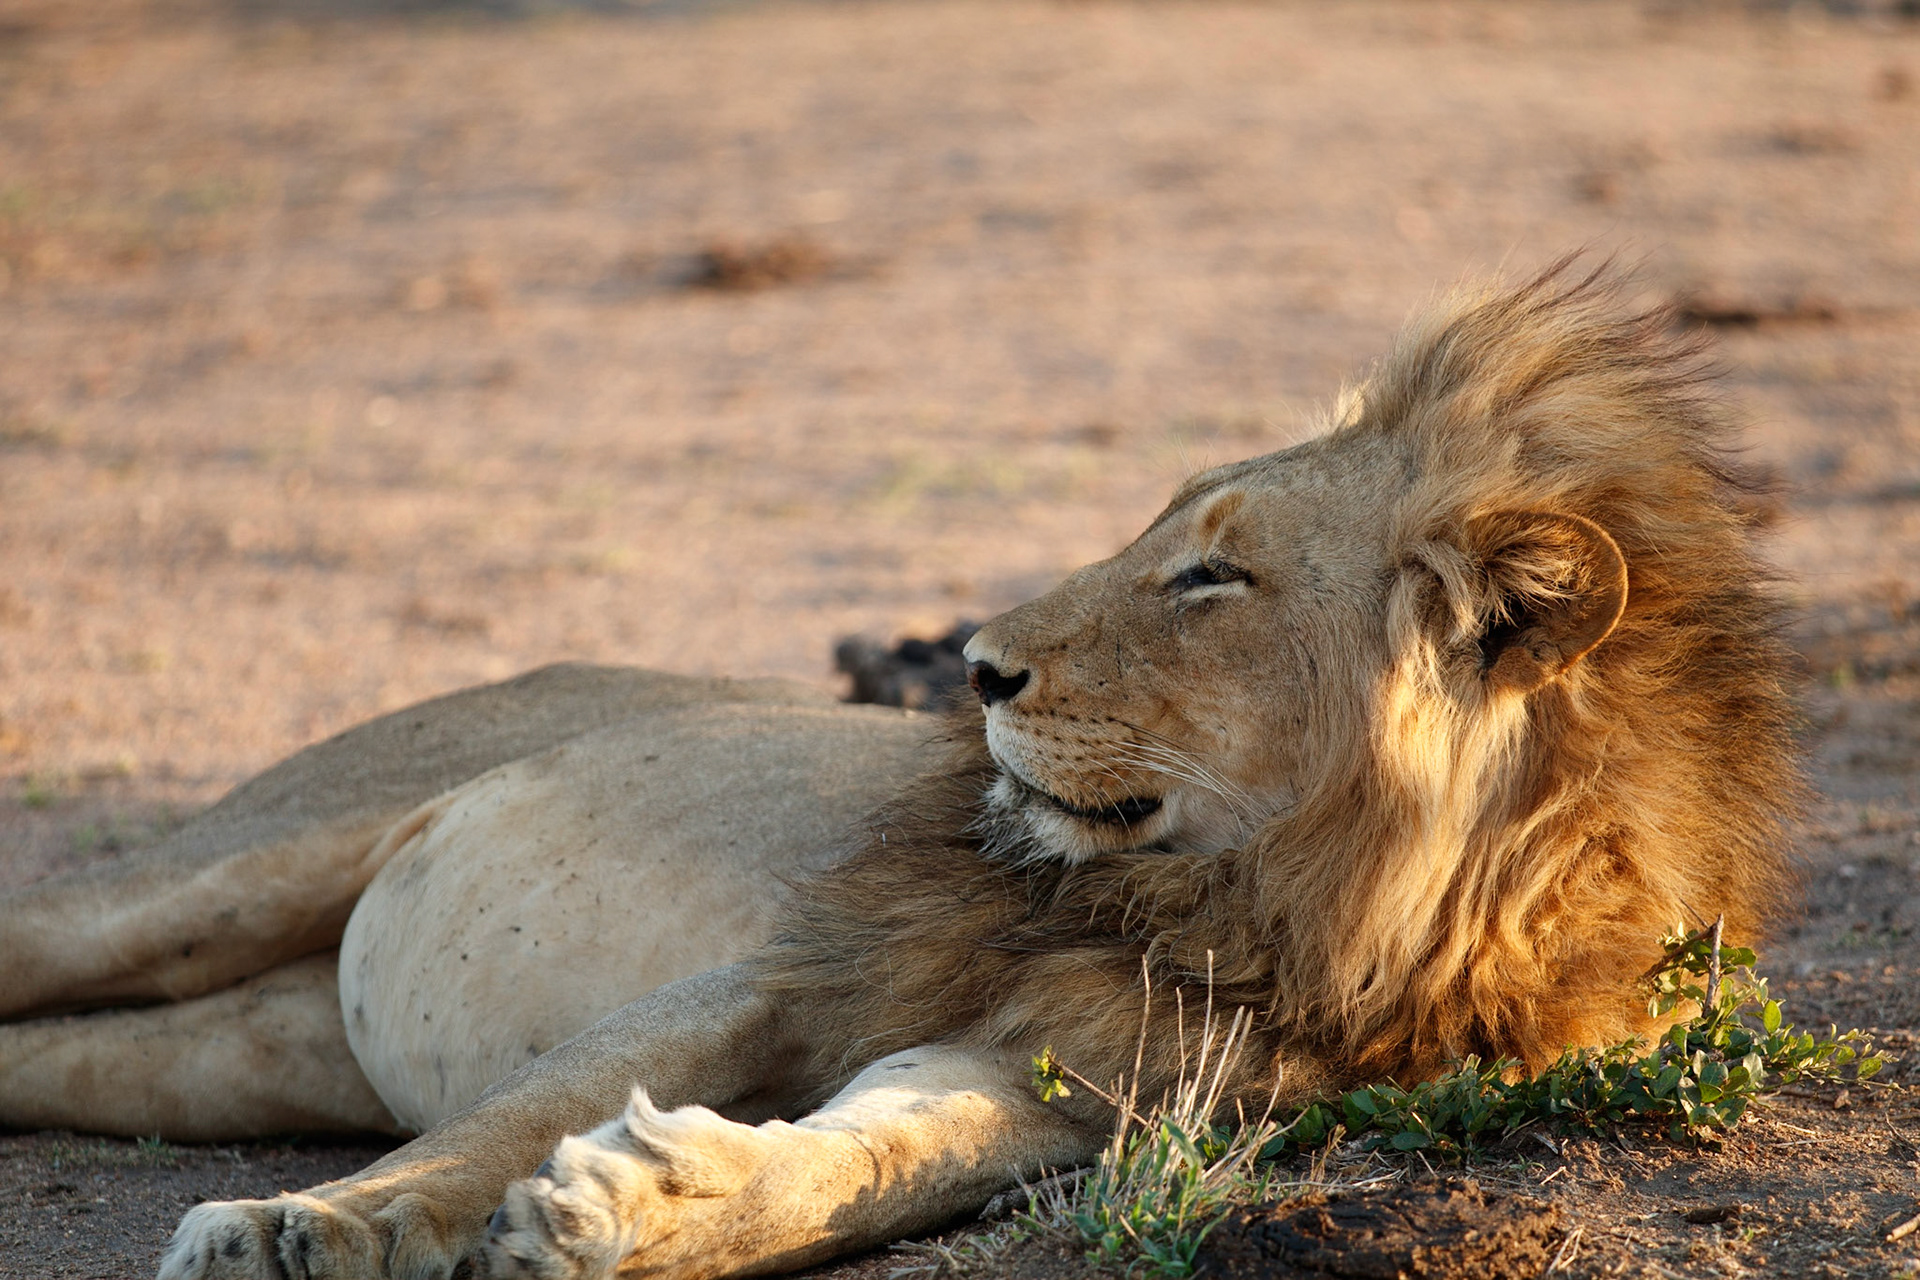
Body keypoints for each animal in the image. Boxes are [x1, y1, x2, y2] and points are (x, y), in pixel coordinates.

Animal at [0, 263, 1796, 1280]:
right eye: (1167, 538)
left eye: (1213, 578)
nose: (977, 668)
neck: (1276, 913)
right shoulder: (795, 965)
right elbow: (502, 1122)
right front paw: (306, 1231)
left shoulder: (1064, 1075)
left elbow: (865, 1165)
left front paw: (647, 1207)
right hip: (235, 870)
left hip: (237, 1049)